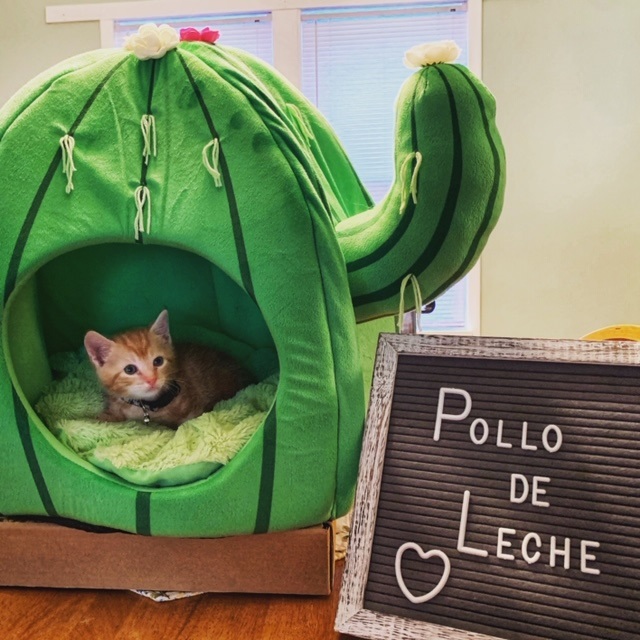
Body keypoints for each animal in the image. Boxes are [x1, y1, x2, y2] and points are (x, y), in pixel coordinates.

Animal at [84, 310, 253, 429]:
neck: (144, 406)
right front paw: (96, 420)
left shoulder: (193, 411)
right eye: (130, 369)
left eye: (158, 361)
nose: (152, 379)